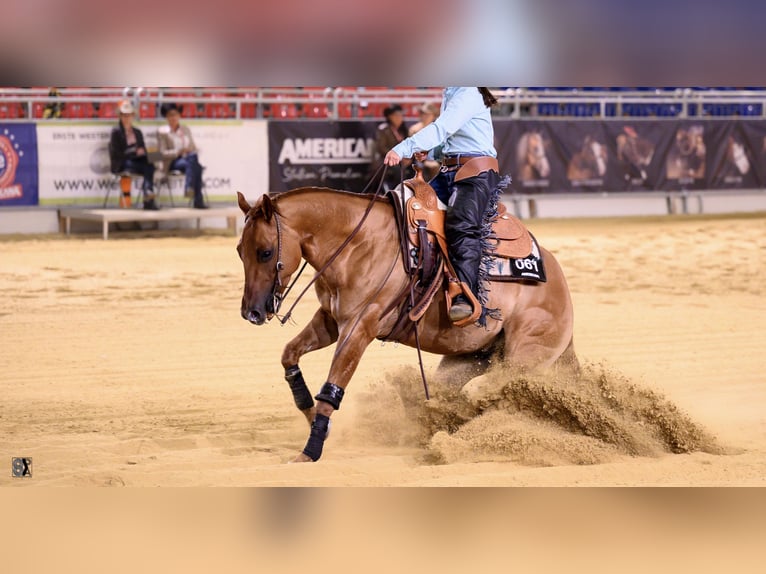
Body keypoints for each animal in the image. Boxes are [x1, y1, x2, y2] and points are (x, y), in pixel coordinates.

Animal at [236, 188, 576, 464]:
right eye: (240, 251)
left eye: (265, 251)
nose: (251, 312)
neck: (358, 244)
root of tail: (559, 284)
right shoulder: (331, 320)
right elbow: (290, 354)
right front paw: (308, 412)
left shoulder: (358, 329)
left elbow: (332, 389)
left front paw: (310, 451)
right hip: (469, 358)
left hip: (525, 355)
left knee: (484, 388)